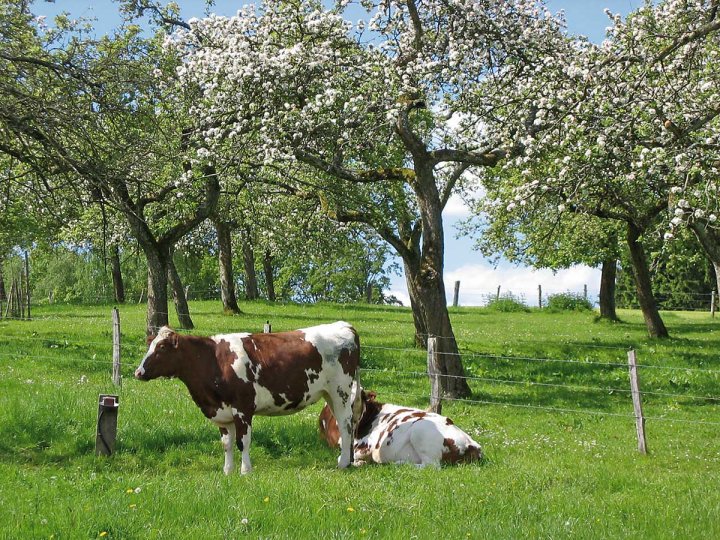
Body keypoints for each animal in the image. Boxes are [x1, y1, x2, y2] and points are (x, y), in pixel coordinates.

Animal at [134, 320, 360, 472]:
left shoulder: (242, 407)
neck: (213, 361)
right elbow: (226, 444)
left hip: (340, 391)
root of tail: (344, 325)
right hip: (329, 395)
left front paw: (245, 471)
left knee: (345, 425)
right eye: (150, 345)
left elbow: (243, 441)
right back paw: (348, 461)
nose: (138, 372)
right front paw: (227, 471)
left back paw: (342, 463)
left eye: (162, 347)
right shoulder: (222, 411)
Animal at [318, 388, 480, 468]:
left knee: (431, 466)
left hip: (421, 430)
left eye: (360, 396)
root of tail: (473, 445)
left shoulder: (366, 445)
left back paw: (396, 464)